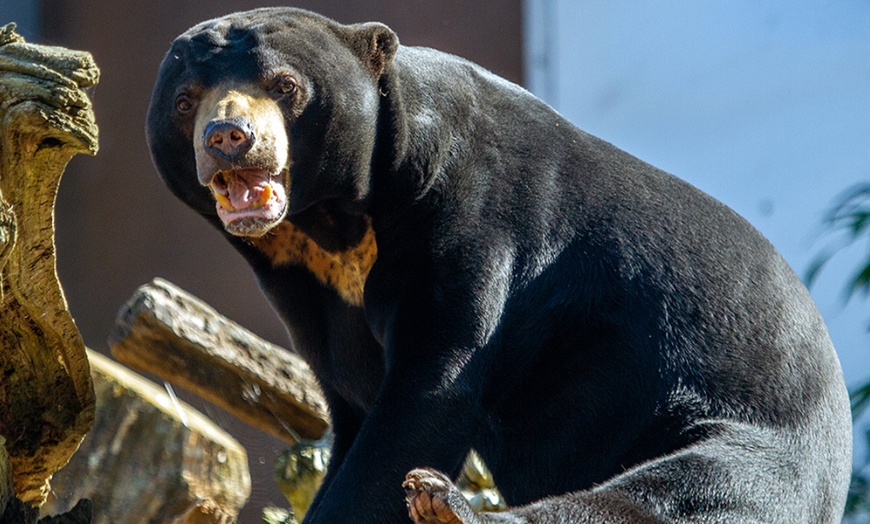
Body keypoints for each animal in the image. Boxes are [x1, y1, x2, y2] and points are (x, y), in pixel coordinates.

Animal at [146, 8, 856, 524]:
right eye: (186, 101)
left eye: (286, 87)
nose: (228, 137)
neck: (335, 226)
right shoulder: (312, 293)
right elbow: (355, 401)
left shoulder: (470, 218)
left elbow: (427, 396)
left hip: (757, 442)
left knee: (671, 494)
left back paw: (448, 506)